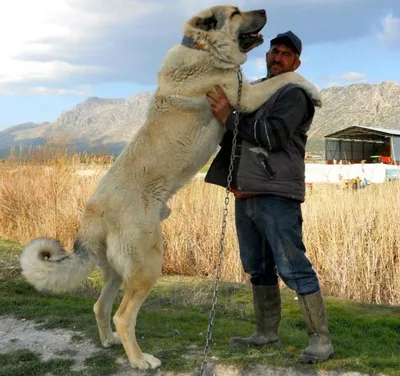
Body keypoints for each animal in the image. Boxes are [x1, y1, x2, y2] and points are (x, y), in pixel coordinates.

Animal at [21, 4, 322, 372]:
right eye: (236, 12)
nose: (265, 8)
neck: (203, 49)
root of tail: (93, 214)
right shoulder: (245, 95)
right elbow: (284, 79)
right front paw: (314, 91)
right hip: (147, 265)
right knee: (123, 316)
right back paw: (140, 360)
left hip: (118, 270)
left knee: (100, 305)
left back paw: (108, 341)